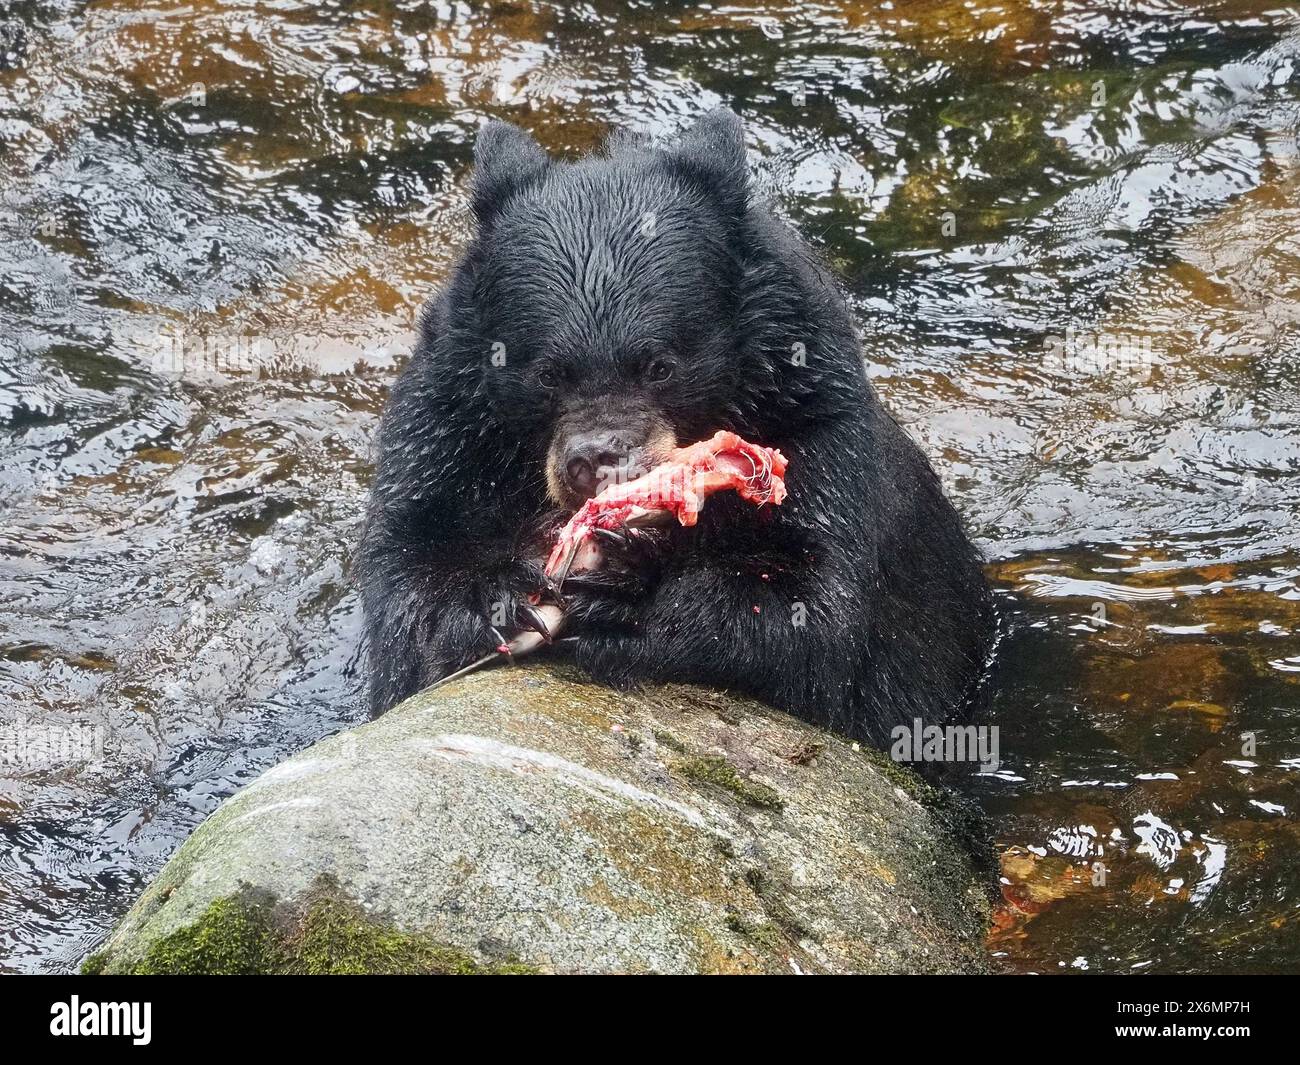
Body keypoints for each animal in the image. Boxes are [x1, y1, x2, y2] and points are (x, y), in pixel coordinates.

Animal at [358, 105, 993, 743]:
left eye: (660, 367)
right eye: (547, 376)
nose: (596, 460)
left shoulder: (814, 421)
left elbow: (812, 607)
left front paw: (629, 588)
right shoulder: (447, 425)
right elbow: (408, 577)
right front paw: (494, 593)